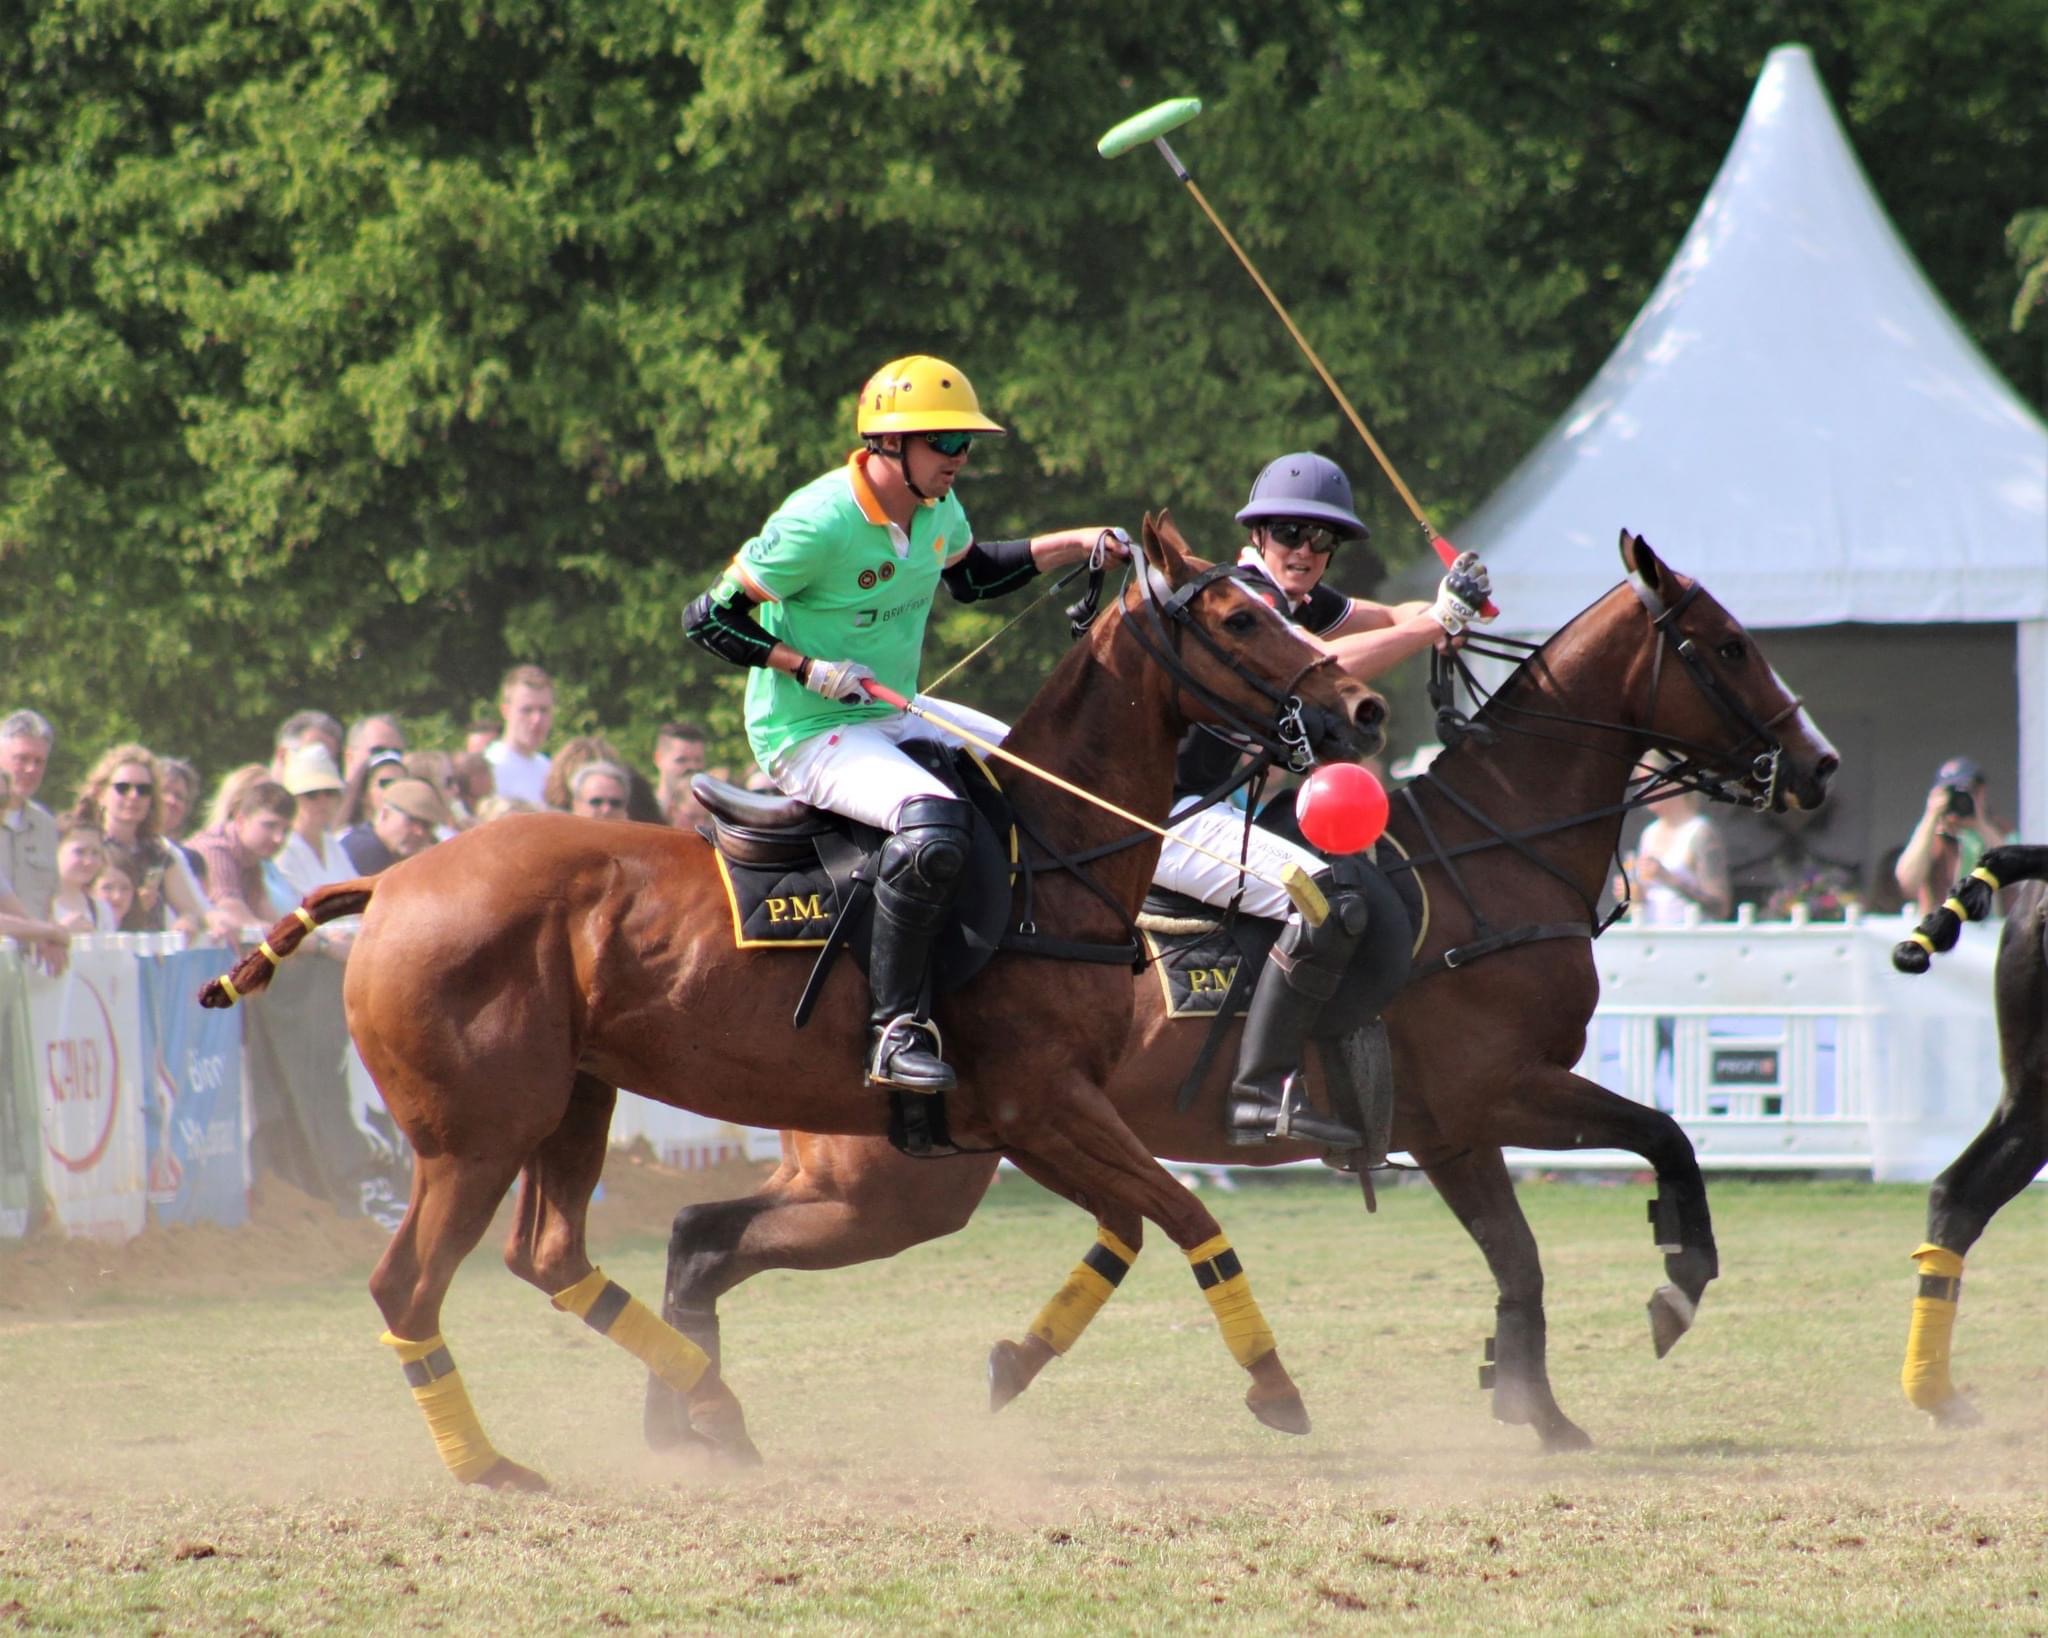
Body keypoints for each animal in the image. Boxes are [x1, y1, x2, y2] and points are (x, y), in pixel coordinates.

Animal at [199, 518, 1384, 1490]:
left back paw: (708, 1411)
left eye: (1285, 603)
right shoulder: (1045, 1102)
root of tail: (394, 882)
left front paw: (1018, 1364)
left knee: (556, 1256)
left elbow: (1143, 1219)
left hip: (576, 1101)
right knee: (409, 1287)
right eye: (1240, 616)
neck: (1050, 850)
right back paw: (494, 1466)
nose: (1361, 709)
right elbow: (1189, 1214)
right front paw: (1275, 1386)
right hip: (474, 1134)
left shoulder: (1028, 1118)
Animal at [643, 528, 1843, 1457]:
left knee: (705, 1234)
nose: (1819, 764)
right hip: (901, 1176)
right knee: (716, 1238)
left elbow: (1523, 1258)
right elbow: (1661, 1142)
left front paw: (1534, 1407)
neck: (1498, 855)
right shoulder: (1499, 1091)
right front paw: (1672, 1292)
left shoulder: (1453, 1128)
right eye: (1727, 645)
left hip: (913, 1171)